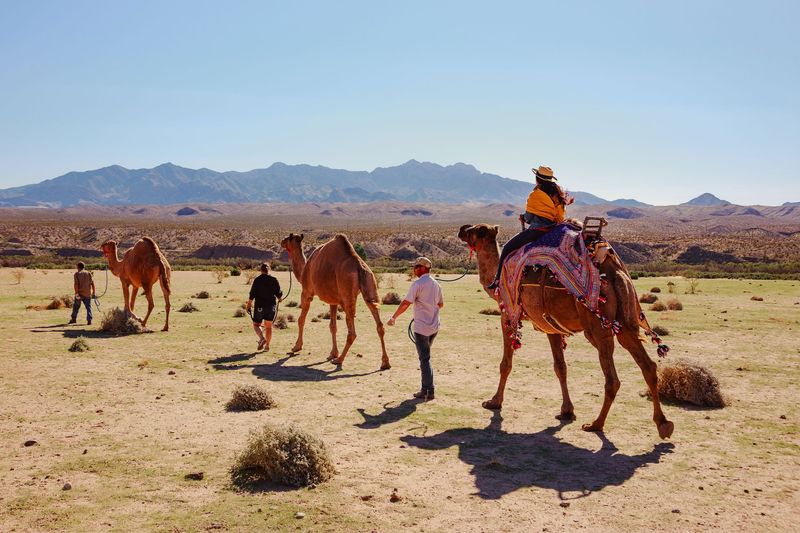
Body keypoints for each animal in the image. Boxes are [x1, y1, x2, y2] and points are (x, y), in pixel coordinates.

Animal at [282, 233, 390, 370]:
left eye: (288, 238)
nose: (282, 241)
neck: (304, 270)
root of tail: (359, 266)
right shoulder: (333, 300)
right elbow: (333, 326)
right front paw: (333, 353)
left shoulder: (306, 292)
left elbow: (301, 320)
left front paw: (296, 347)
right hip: (371, 286)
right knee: (379, 325)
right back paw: (385, 362)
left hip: (347, 293)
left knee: (352, 332)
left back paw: (339, 360)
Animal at [456, 222, 676, 438]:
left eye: (478, 230)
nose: (461, 229)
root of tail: (615, 272)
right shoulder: (551, 327)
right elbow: (560, 367)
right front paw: (567, 411)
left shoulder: (507, 315)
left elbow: (506, 364)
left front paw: (494, 402)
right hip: (626, 321)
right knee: (648, 366)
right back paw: (663, 424)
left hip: (597, 326)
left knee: (612, 379)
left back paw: (595, 424)